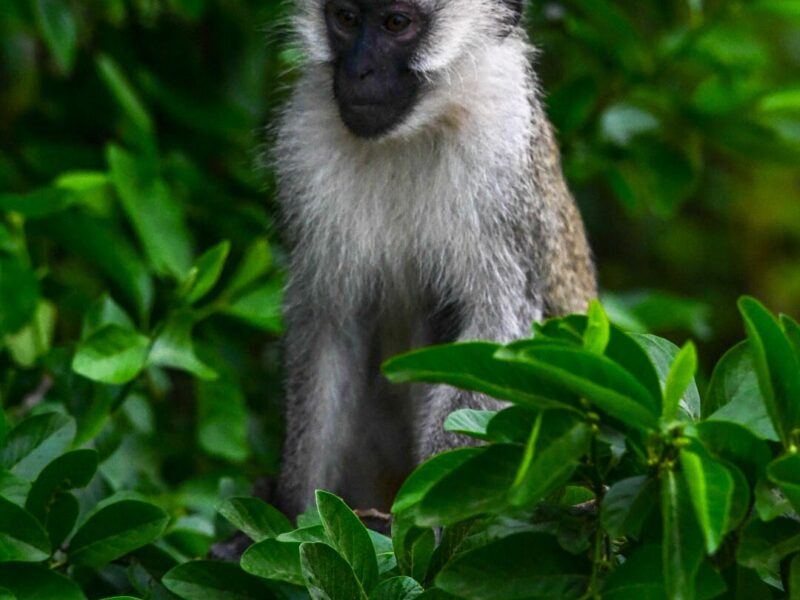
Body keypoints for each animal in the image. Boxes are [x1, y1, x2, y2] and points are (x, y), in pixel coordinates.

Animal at [272, 0, 597, 520]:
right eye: (345, 19)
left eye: (396, 24)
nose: (358, 71)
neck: (417, 130)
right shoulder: (307, 144)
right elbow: (329, 326)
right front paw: (287, 513)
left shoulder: (501, 156)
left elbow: (492, 332)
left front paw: (424, 523)